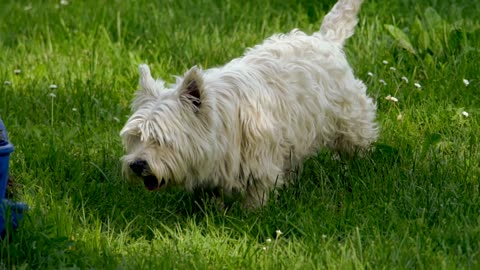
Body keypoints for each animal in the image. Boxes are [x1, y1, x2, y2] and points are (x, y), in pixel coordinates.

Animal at [118, 0, 376, 208]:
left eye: (160, 139)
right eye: (136, 137)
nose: (136, 165)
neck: (221, 122)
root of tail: (324, 39)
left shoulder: (259, 163)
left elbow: (257, 195)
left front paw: (252, 215)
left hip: (349, 118)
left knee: (358, 142)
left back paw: (361, 168)